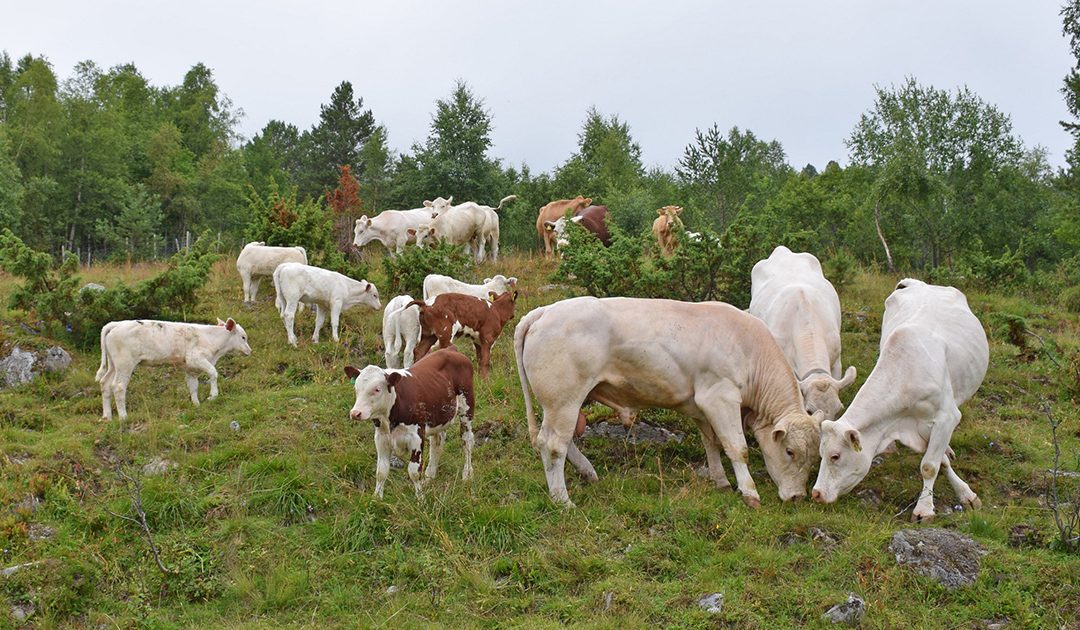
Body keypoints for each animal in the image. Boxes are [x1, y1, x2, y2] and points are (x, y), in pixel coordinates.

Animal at [93, 317, 252, 421]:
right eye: (243, 337)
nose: (249, 351)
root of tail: (116, 324)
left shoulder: (190, 368)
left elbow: (193, 386)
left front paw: (196, 405)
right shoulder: (196, 358)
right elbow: (214, 373)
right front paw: (213, 396)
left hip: (114, 365)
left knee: (105, 383)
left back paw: (107, 416)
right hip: (125, 364)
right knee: (118, 386)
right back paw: (123, 417)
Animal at [511, 298, 816, 510]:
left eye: (815, 458)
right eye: (790, 451)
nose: (797, 497)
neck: (749, 348)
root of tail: (544, 311)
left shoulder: (702, 407)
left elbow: (712, 443)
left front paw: (720, 481)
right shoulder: (720, 397)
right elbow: (737, 448)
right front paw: (750, 492)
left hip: (564, 404)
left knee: (561, 441)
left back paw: (587, 471)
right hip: (563, 400)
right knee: (553, 446)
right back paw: (563, 500)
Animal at [812, 278, 989, 523]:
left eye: (835, 456)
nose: (816, 493)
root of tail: (918, 283)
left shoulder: (946, 417)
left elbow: (929, 465)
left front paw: (927, 508)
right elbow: (939, 461)